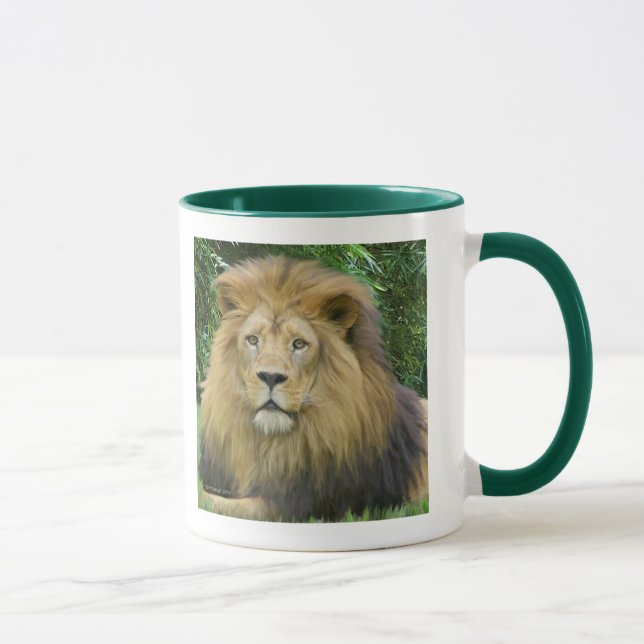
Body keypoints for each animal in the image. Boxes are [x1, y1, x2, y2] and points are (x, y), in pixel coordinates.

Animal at [198, 255, 428, 522]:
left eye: (299, 344)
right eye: (253, 340)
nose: (270, 376)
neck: (273, 445)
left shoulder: (313, 504)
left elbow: (237, 504)